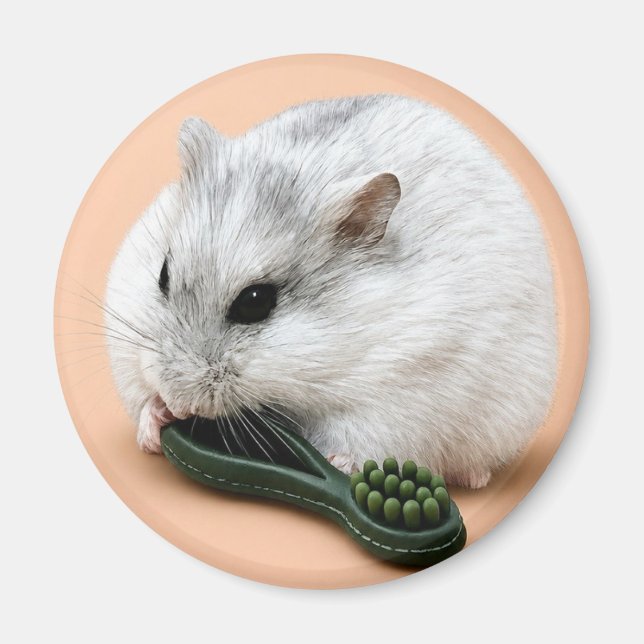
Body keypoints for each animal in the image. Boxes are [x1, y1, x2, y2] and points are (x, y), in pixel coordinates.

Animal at [105, 94, 557, 489]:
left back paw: (476, 479)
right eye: (163, 275)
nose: (181, 404)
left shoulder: (408, 388)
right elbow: (140, 396)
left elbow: (363, 438)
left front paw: (338, 465)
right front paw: (154, 422)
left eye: (256, 302)